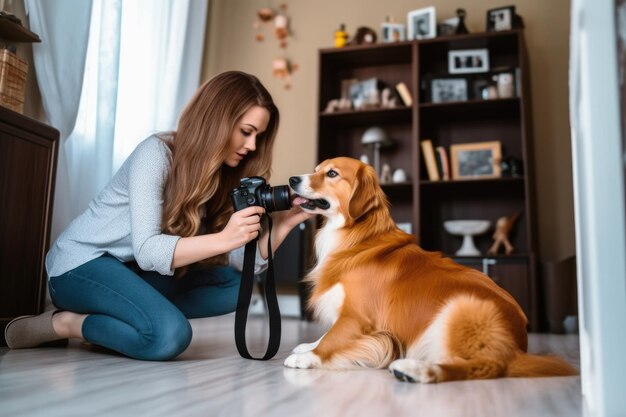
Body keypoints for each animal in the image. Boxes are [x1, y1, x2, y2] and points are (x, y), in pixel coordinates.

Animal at [284, 158, 576, 382]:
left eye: (332, 173)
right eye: (316, 169)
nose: (291, 179)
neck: (358, 237)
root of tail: (519, 345)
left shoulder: (359, 317)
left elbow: (333, 338)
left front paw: (307, 356)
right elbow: (327, 333)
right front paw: (308, 344)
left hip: (462, 307)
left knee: (485, 366)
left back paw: (418, 370)